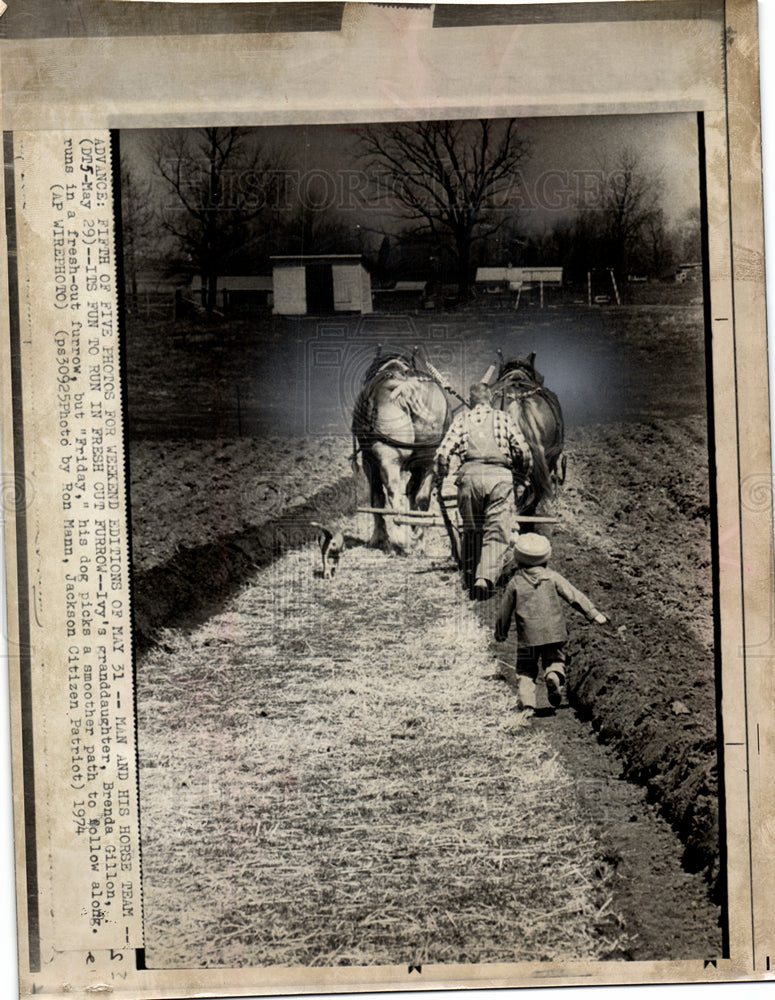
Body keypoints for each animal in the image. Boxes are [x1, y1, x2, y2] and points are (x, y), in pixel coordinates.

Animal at [350, 352, 452, 552]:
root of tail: (404, 387)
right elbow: (413, 493)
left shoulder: (368, 461)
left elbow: (377, 498)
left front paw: (379, 536)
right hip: (428, 458)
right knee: (421, 497)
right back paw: (416, 538)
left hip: (388, 458)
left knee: (392, 492)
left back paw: (398, 537)